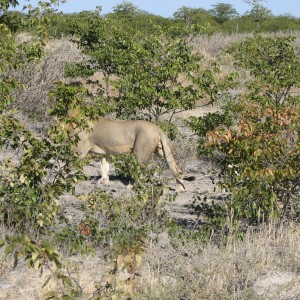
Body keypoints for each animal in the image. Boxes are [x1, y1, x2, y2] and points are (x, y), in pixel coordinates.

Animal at [64, 110, 193, 192]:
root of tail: (158, 129)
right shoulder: (105, 152)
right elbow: (104, 166)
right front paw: (104, 181)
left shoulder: (79, 152)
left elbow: (67, 167)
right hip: (161, 151)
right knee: (176, 168)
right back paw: (180, 188)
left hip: (140, 152)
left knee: (140, 172)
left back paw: (131, 187)